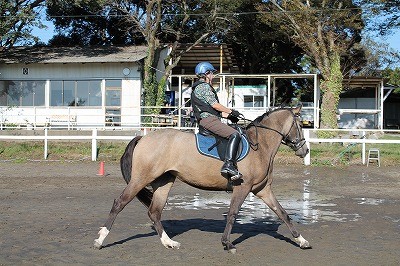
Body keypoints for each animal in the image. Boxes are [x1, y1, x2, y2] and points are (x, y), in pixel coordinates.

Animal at [94, 106, 312, 254]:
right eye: (300, 125)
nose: (305, 150)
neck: (260, 146)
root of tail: (144, 138)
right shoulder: (242, 187)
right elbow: (232, 214)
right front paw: (227, 243)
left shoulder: (262, 189)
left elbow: (283, 213)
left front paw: (301, 240)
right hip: (141, 178)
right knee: (119, 203)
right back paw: (100, 240)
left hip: (164, 182)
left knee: (154, 212)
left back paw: (169, 242)